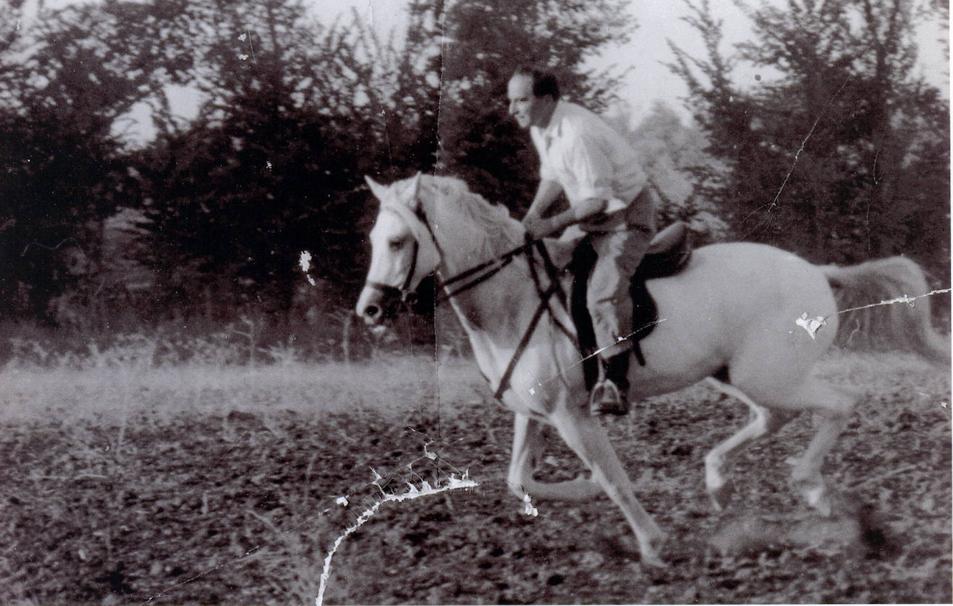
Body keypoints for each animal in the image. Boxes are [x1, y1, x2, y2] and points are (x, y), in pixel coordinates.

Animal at [354, 173, 948, 568]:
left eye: (398, 241)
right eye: (374, 241)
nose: (370, 311)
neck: (514, 299)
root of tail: (819, 272)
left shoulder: (573, 415)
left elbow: (612, 478)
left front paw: (650, 543)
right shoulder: (536, 413)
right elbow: (519, 480)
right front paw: (584, 493)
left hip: (769, 375)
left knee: (840, 405)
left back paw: (811, 490)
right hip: (741, 375)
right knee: (773, 418)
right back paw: (718, 483)